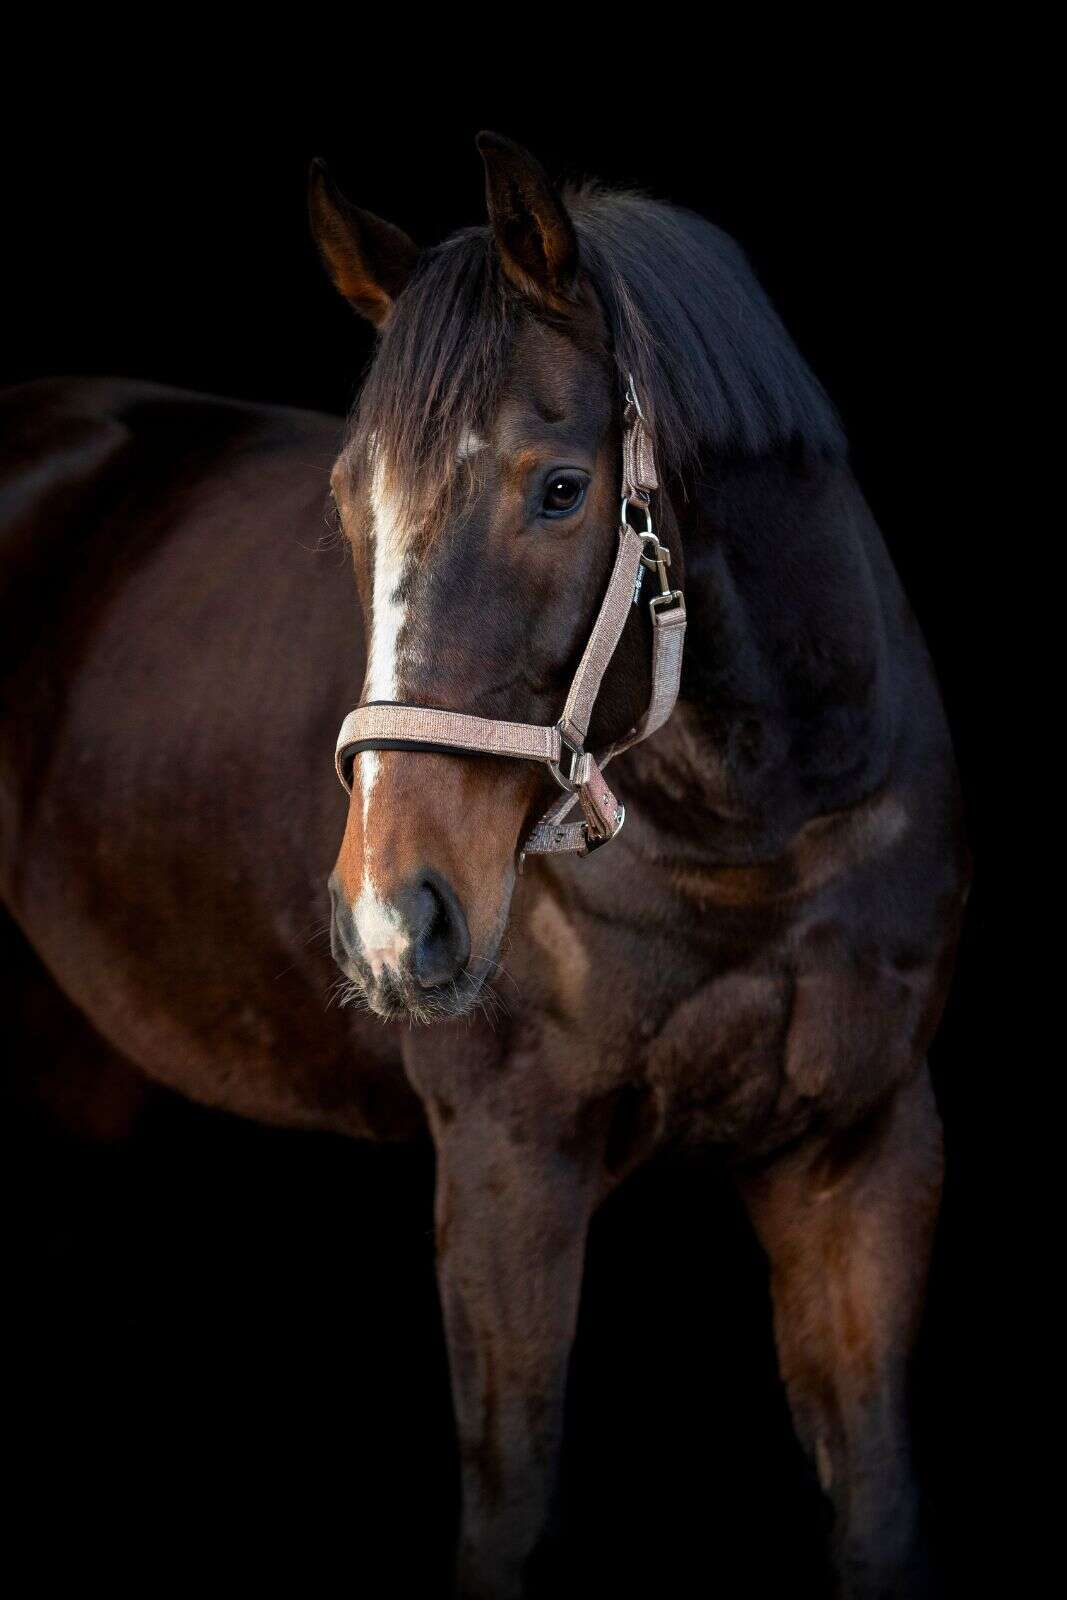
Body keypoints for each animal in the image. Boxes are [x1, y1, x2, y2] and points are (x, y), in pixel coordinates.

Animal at [0, 132, 968, 1597]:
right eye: (352, 505)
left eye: (557, 488)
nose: (391, 926)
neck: (756, 840)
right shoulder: (509, 1163)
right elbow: (506, 1517)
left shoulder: (860, 1154)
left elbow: (876, 1512)